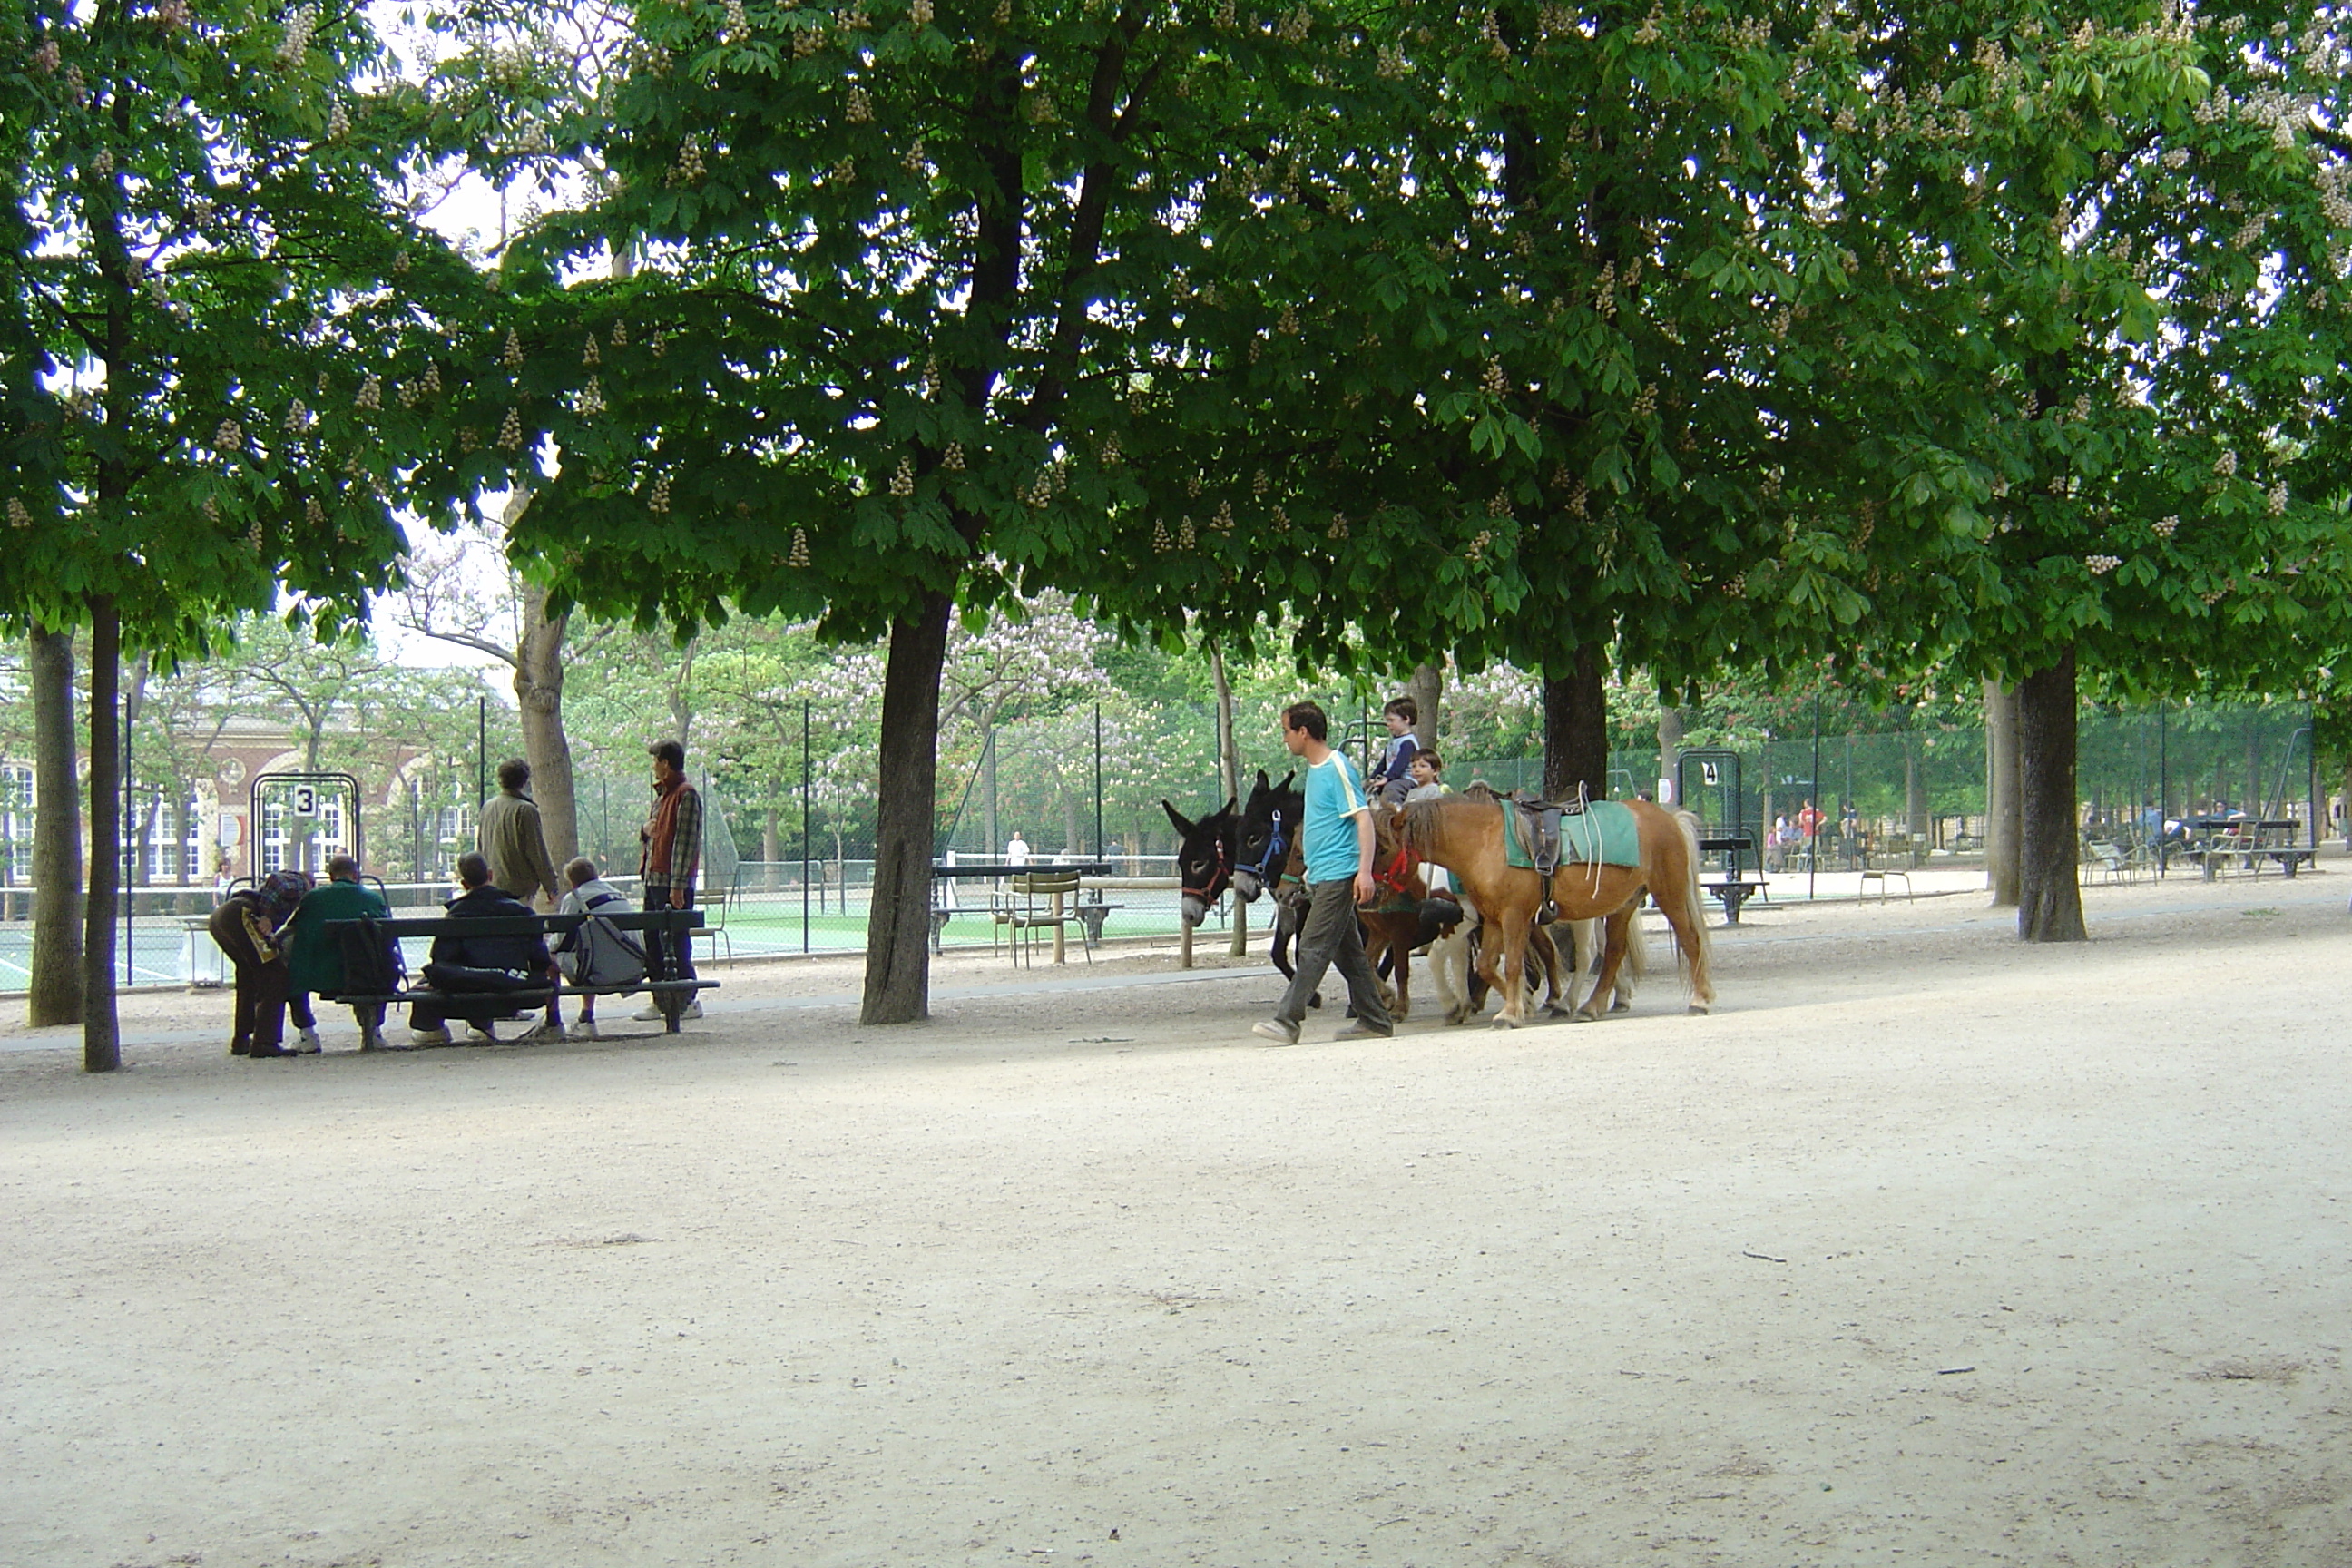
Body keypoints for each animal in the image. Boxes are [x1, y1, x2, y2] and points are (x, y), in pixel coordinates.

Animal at [1373, 799, 1711, 1029]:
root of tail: (1668, 818)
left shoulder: (1510, 917)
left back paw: (1700, 999)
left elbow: (1509, 966)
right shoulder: (1491, 919)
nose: (1369, 892)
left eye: (1382, 848)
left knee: (1689, 941)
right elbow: (1484, 965)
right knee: (1613, 953)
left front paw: (1512, 1011)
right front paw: (1516, 1002)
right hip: (1621, 905)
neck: (1484, 843)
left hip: (1668, 895)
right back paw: (1591, 1005)